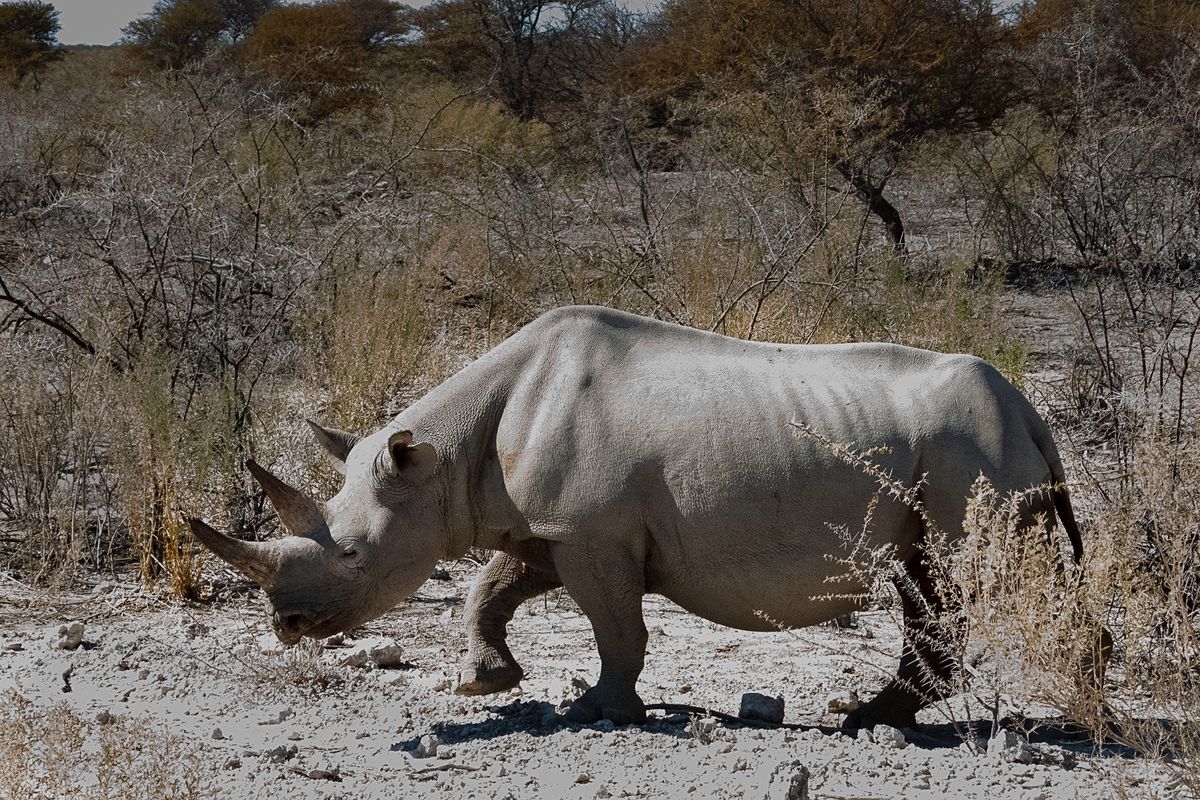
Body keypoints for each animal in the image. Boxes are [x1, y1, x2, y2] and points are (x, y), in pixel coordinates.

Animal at [189, 303, 1089, 729]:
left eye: (351, 557)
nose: (287, 625)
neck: (443, 457)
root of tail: (1030, 410)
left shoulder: (593, 531)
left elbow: (616, 625)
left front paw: (600, 711)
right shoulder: (549, 523)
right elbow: (492, 586)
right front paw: (488, 679)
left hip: (972, 455)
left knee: (987, 576)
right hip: (965, 451)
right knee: (931, 581)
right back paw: (866, 717)